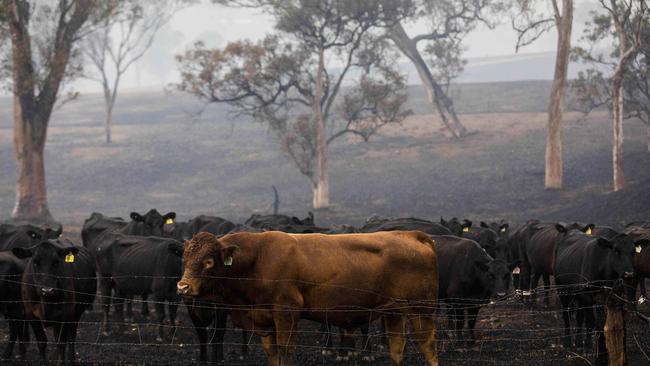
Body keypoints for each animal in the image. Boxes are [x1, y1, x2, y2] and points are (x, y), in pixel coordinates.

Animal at [177, 230, 438, 364]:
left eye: (208, 262)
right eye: (185, 258)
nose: (183, 287)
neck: (257, 258)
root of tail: (411, 235)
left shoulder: (286, 315)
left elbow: (285, 351)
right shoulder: (265, 323)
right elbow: (273, 354)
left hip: (421, 311)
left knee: (428, 348)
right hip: (393, 312)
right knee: (397, 349)